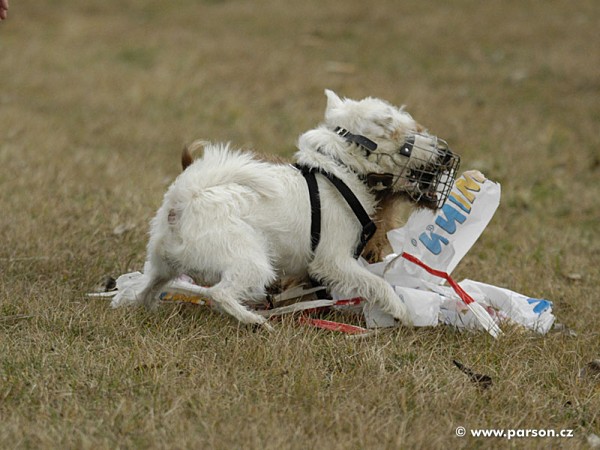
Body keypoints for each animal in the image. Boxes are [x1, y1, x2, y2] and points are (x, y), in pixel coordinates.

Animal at [111, 89, 460, 326]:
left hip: (161, 266)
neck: (340, 168)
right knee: (220, 293)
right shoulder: (334, 260)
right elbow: (377, 283)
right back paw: (253, 320)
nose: (445, 154)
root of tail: (182, 202)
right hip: (253, 263)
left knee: (144, 290)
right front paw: (401, 311)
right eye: (407, 143)